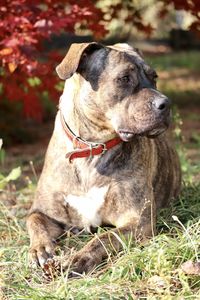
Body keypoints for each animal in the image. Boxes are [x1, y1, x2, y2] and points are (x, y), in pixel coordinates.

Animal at [26, 41, 181, 274]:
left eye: (154, 77)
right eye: (124, 78)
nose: (166, 103)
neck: (92, 149)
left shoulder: (138, 220)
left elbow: (105, 237)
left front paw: (79, 258)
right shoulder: (43, 211)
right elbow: (34, 222)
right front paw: (40, 249)